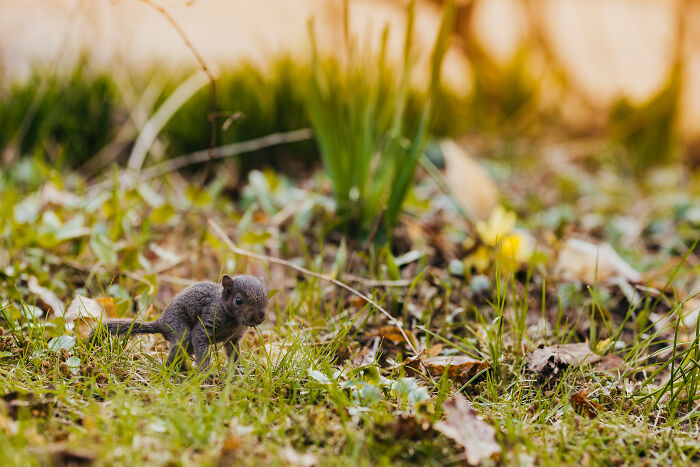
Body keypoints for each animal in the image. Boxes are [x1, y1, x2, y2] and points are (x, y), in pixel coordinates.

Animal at [89, 274, 270, 372]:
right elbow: (201, 344)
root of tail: (161, 322)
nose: (259, 318)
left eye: (266, 298)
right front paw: (205, 375)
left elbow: (234, 354)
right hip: (179, 329)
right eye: (238, 300)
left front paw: (239, 372)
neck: (234, 320)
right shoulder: (208, 320)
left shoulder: (234, 338)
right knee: (176, 352)